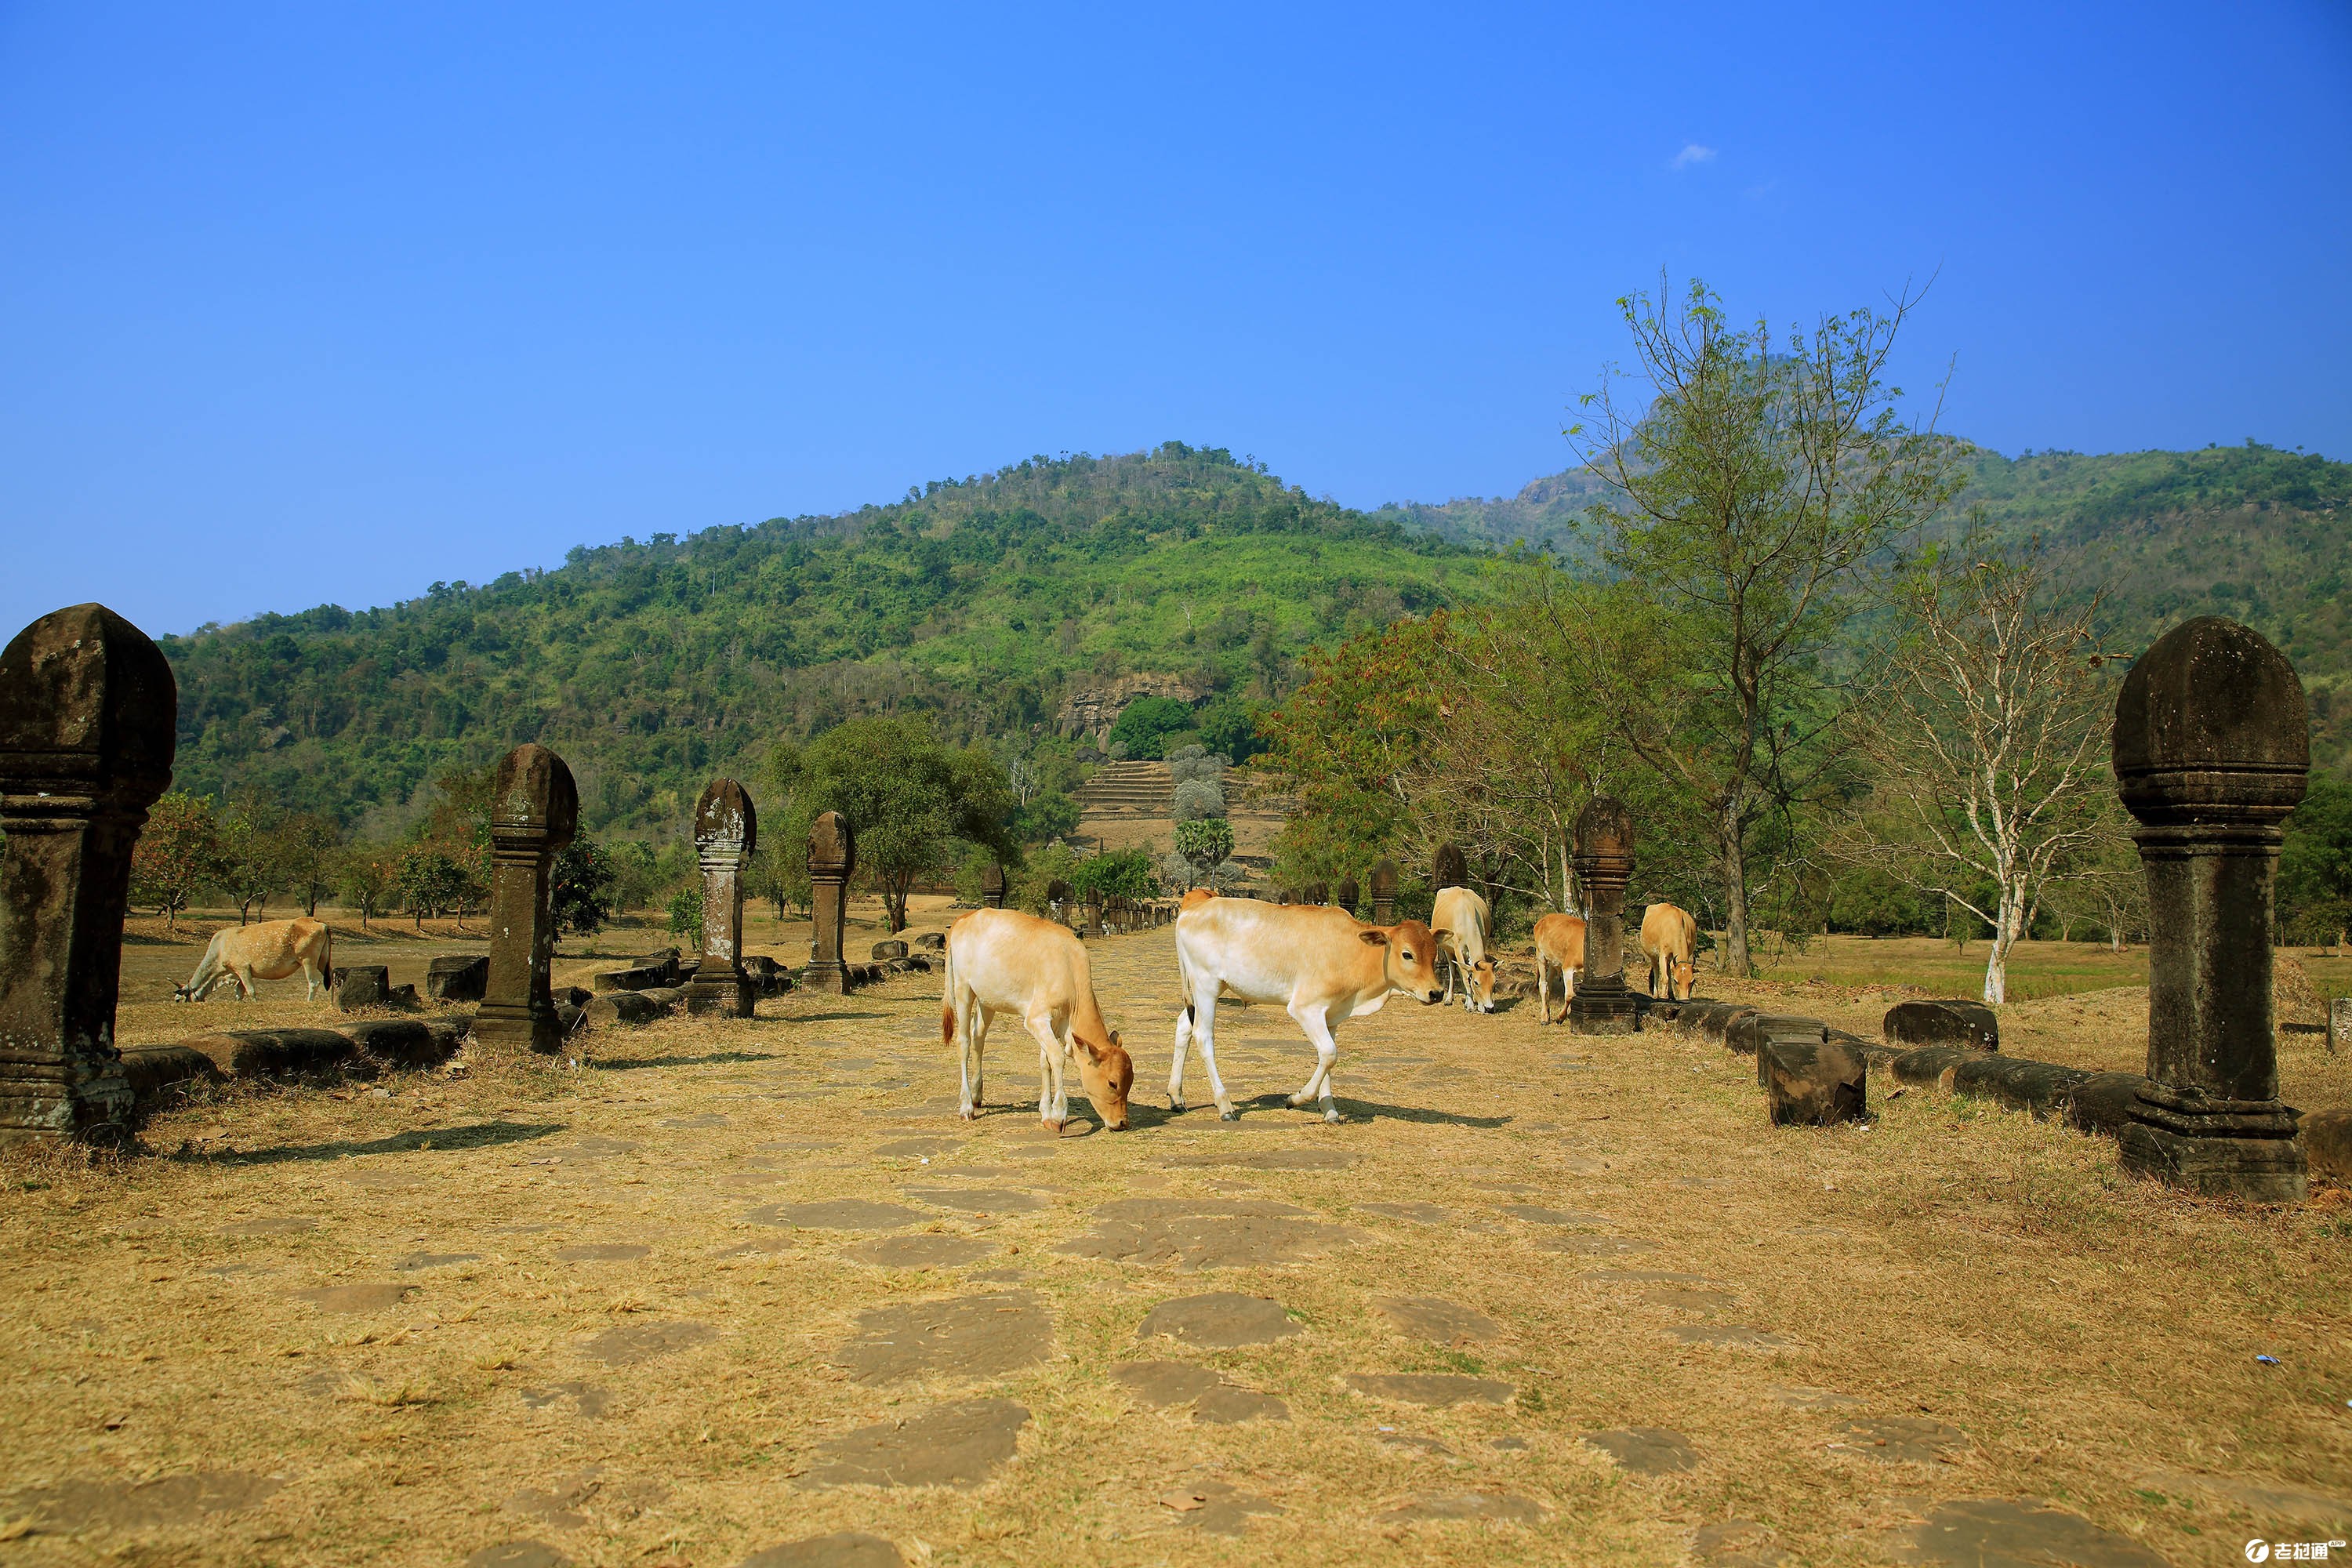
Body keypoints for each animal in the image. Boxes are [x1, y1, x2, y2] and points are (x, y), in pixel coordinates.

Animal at [174, 921, 336, 1006]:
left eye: (177, 1000)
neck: (220, 947)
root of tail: (320, 923)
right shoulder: (237, 974)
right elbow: (239, 993)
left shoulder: (243, 969)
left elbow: (251, 990)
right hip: (322, 961)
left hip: (308, 961)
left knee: (314, 982)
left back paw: (309, 1001)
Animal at [941, 907, 1134, 1128]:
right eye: (1112, 1083)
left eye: (1130, 1082)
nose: (1122, 1122)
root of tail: (966, 917)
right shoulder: (1036, 1019)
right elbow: (1057, 1057)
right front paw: (1058, 1114)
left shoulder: (1051, 1024)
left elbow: (1045, 1062)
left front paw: (1046, 1112)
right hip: (963, 988)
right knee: (964, 1042)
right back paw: (966, 1107)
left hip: (987, 1000)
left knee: (978, 1037)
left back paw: (976, 1095)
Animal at [1167, 888, 1439, 1123]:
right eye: (1407, 954)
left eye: (1434, 954)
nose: (1436, 992)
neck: (1353, 950)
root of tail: (1195, 907)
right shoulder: (1306, 1008)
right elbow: (1329, 1053)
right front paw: (1295, 1099)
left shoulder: (1331, 1016)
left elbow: (1329, 1058)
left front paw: (1330, 1110)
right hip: (1206, 985)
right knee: (1203, 1035)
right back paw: (1224, 1105)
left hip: (1206, 991)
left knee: (1184, 1026)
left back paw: (1176, 1097)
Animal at [1421, 884, 1496, 1020]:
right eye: (1477, 983)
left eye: (1494, 982)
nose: (1490, 1008)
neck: (1467, 917)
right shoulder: (1458, 949)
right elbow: (1466, 977)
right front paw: (1470, 1005)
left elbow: (1467, 974)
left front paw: (1472, 1003)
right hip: (1448, 951)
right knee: (1453, 970)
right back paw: (1449, 999)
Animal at [1534, 907, 1590, 1029]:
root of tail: (1543, 919)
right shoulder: (1567, 968)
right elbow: (1569, 995)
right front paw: (1560, 1018)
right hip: (1541, 956)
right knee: (1543, 984)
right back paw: (1544, 1017)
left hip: (1554, 963)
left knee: (1549, 984)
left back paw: (1548, 1013)